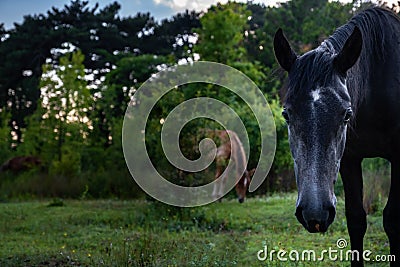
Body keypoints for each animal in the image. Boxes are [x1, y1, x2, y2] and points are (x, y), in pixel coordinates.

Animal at [274, 6, 400, 267]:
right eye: (286, 114)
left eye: (346, 115)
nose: (314, 214)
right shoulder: (349, 160)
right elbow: (356, 219)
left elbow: (392, 220)